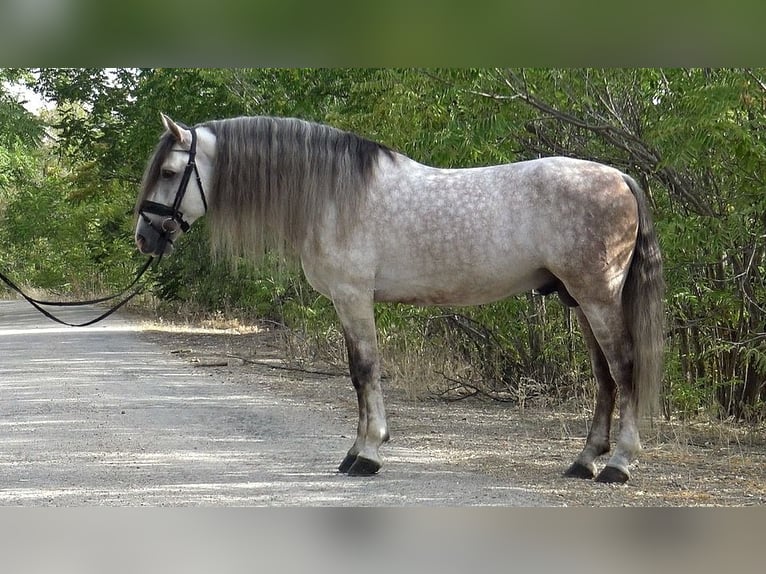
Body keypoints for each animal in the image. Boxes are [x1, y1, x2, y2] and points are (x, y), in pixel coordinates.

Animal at [136, 113, 664, 486]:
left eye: (169, 171)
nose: (144, 237)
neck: (332, 195)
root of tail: (620, 177)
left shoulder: (353, 297)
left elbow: (366, 370)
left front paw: (368, 454)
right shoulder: (346, 301)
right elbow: (356, 374)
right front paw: (356, 451)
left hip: (598, 297)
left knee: (624, 368)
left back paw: (618, 464)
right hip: (580, 300)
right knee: (604, 377)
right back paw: (584, 461)